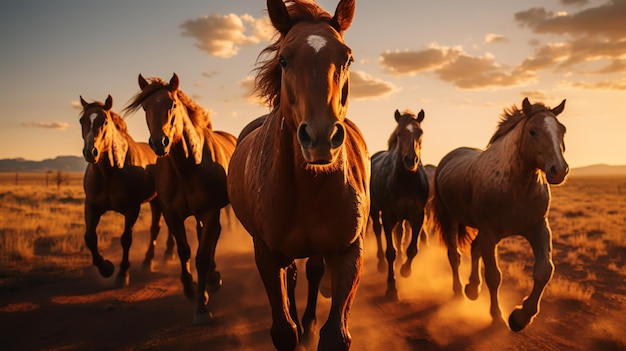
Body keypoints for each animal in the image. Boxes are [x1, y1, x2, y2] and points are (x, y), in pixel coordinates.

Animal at [80, 95, 176, 288]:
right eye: (81, 121)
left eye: (105, 121)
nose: (90, 152)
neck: (110, 172)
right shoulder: (92, 207)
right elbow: (90, 238)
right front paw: (106, 268)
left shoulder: (132, 209)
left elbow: (126, 239)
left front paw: (122, 273)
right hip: (155, 201)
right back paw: (150, 260)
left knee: (160, 227)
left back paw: (160, 257)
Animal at [123, 73, 235, 326]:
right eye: (145, 107)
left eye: (172, 104)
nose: (159, 142)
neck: (188, 166)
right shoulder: (172, 215)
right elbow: (184, 250)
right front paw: (190, 288)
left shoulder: (210, 212)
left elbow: (202, 256)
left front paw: (201, 307)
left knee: (212, 239)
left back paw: (212, 278)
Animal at [227, 0, 368, 350]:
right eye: (284, 59)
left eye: (347, 58)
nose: (320, 137)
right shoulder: (266, 254)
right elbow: (283, 331)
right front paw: (294, 326)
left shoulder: (349, 252)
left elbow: (335, 335)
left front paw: (312, 327)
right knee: (291, 276)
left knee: (313, 272)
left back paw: (308, 324)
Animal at [368, 108, 426, 302]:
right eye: (400, 133)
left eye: (420, 132)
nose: (410, 160)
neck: (405, 182)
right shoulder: (388, 217)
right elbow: (390, 252)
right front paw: (391, 288)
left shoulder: (418, 216)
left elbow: (412, 248)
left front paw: (405, 270)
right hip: (374, 211)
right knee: (377, 230)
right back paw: (379, 263)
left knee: (400, 233)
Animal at [432, 97, 568, 332]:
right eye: (532, 131)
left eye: (562, 130)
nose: (558, 170)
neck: (516, 187)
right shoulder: (489, 233)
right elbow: (494, 276)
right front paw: (498, 316)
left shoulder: (539, 228)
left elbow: (544, 270)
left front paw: (521, 318)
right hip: (451, 220)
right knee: (454, 256)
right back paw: (459, 291)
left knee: (473, 249)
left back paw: (472, 288)